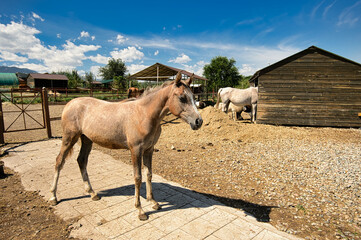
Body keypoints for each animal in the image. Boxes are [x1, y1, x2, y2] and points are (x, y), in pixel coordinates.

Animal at [48, 72, 202, 220]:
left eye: (193, 97)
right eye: (182, 98)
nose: (198, 121)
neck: (144, 114)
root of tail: (70, 103)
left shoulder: (149, 150)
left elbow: (149, 174)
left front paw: (153, 201)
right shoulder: (136, 150)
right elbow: (138, 178)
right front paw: (140, 210)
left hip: (86, 140)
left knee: (81, 160)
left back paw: (92, 193)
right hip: (69, 138)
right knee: (59, 161)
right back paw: (53, 196)